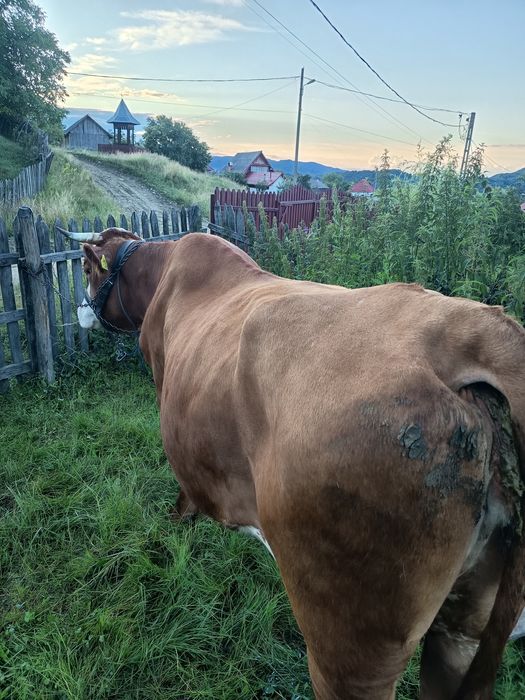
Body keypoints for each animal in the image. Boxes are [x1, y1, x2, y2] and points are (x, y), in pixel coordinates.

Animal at [62, 226, 525, 700]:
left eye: (85, 269)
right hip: (460, 634)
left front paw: (179, 519)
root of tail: (473, 330)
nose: (79, 311)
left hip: (348, 647)